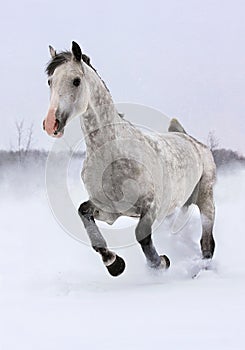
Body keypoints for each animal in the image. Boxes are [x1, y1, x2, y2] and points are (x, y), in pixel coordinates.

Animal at [43, 41, 215, 276]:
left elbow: (141, 236)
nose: (51, 124)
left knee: (207, 243)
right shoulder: (109, 210)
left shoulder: (150, 207)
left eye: (76, 81)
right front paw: (114, 263)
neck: (113, 155)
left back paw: (201, 270)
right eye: (50, 81)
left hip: (206, 198)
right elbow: (84, 213)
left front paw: (161, 263)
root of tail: (189, 139)